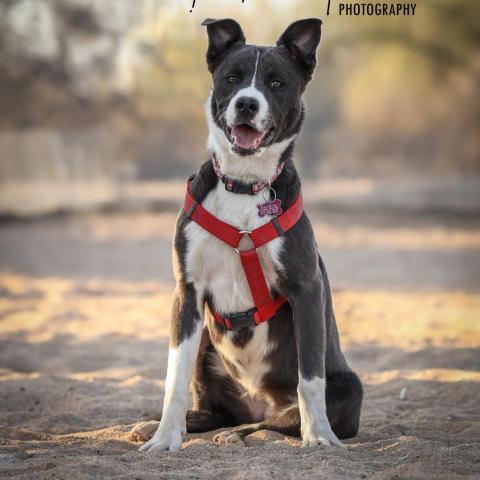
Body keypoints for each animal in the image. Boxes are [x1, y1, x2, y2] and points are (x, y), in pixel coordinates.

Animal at [137, 17, 362, 454]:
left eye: (275, 83)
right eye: (232, 78)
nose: (246, 103)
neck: (243, 185)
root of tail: (257, 403)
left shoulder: (306, 290)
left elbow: (310, 380)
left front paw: (319, 436)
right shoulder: (187, 292)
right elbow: (174, 378)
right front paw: (164, 437)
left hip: (350, 387)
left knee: (274, 421)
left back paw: (248, 432)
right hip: (206, 343)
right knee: (215, 413)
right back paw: (162, 424)